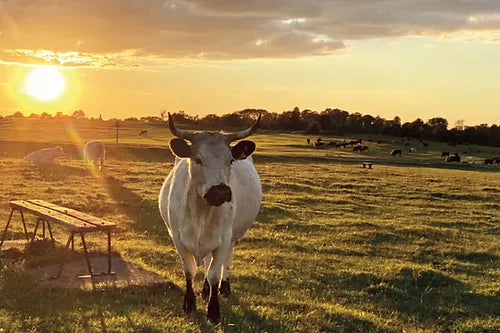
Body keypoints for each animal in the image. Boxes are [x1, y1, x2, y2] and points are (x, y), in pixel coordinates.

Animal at [159, 112, 262, 322]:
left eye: (230, 160)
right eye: (198, 159)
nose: (220, 191)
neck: (201, 212)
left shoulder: (224, 239)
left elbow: (215, 272)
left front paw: (213, 311)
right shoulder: (178, 239)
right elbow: (189, 270)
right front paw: (189, 304)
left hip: (232, 237)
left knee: (225, 261)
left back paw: (225, 287)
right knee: (206, 260)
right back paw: (205, 289)